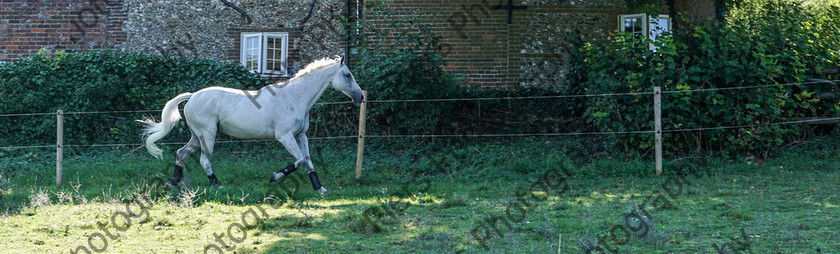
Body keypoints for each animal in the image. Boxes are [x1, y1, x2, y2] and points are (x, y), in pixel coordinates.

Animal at [139, 56, 362, 193]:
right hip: (207, 134)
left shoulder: (301, 136)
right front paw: (274, 176)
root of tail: (193, 95)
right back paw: (218, 185)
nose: (360, 97)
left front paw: (320, 188)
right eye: (347, 75)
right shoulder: (285, 137)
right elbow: (298, 160)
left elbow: (307, 161)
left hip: (196, 136)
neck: (294, 98)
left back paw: (173, 183)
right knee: (204, 160)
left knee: (181, 154)